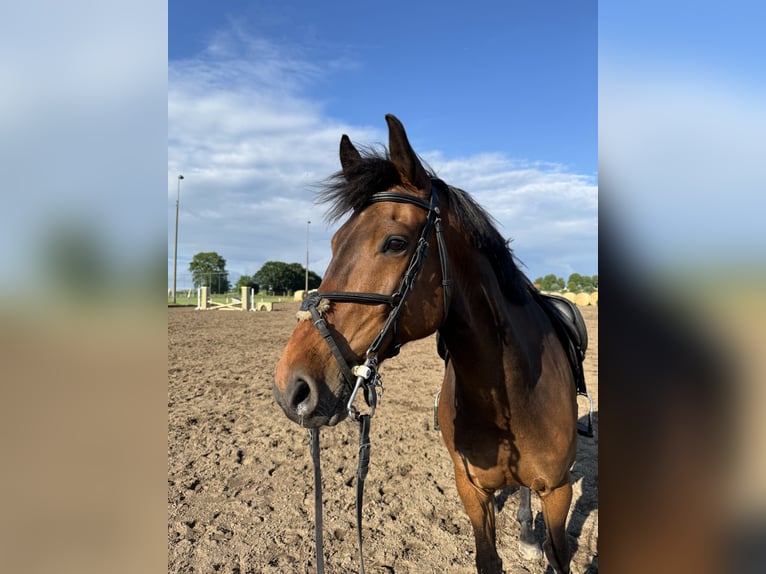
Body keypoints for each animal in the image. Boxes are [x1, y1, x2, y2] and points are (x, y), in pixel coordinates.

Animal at [276, 115, 584, 572]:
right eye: (333, 244)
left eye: (395, 243)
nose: (292, 387)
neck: (516, 393)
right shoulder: (471, 490)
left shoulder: (559, 492)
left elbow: (558, 556)